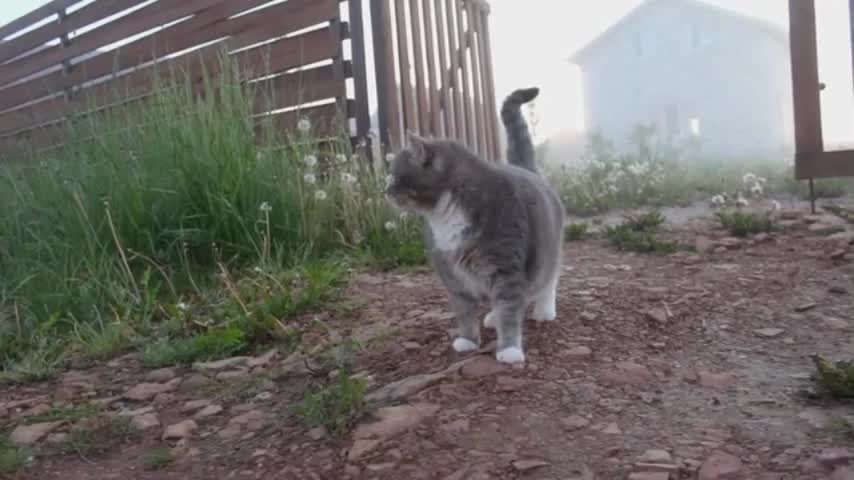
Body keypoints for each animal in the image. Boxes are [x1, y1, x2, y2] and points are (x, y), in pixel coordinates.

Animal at [384, 87, 564, 364]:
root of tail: (525, 170)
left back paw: (543, 310)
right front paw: (467, 341)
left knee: (547, 280)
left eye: (395, 177)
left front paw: (509, 350)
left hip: (548, 253)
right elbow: (465, 312)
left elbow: (510, 312)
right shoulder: (452, 275)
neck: (445, 217)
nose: (385, 191)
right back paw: (492, 317)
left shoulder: (506, 269)